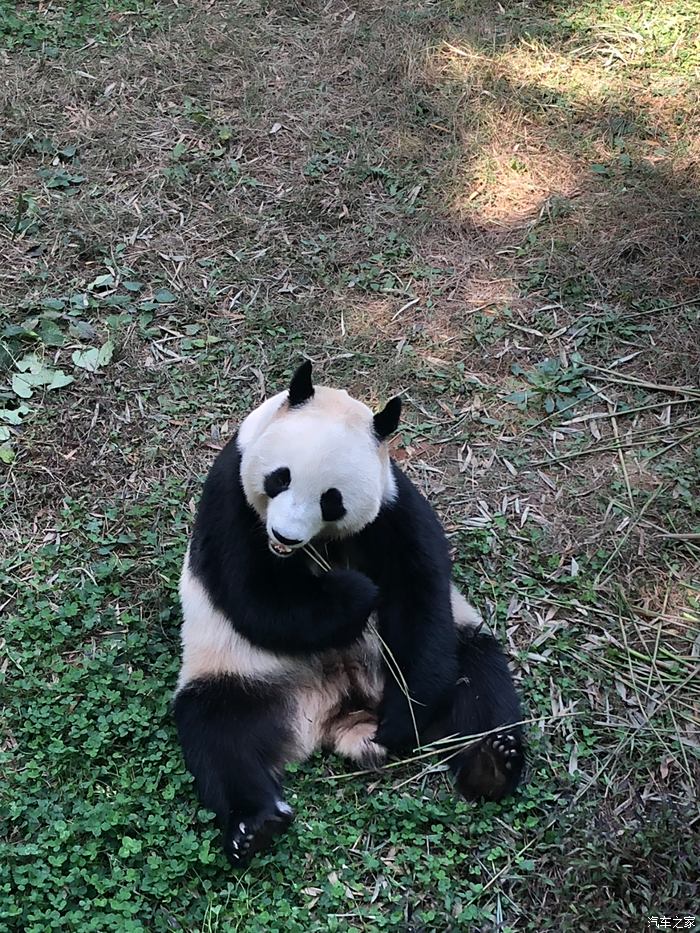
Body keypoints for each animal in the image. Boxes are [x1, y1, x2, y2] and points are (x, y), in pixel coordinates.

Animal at [175, 362, 524, 868]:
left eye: (331, 500)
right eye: (279, 479)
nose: (285, 535)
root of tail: (339, 712)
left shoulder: (392, 504)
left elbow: (419, 595)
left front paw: (402, 720)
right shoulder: (230, 498)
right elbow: (254, 598)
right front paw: (355, 593)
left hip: (450, 646)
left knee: (479, 681)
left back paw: (492, 761)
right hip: (240, 672)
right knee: (217, 735)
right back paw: (255, 823)